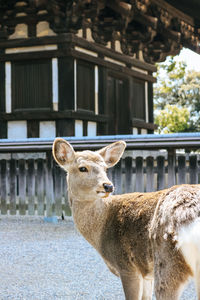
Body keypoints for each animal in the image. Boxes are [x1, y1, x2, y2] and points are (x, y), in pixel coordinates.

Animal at [52, 138, 200, 300]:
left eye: (105, 169)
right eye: (82, 168)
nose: (108, 186)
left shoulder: (127, 265)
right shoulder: (146, 272)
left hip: (167, 260)